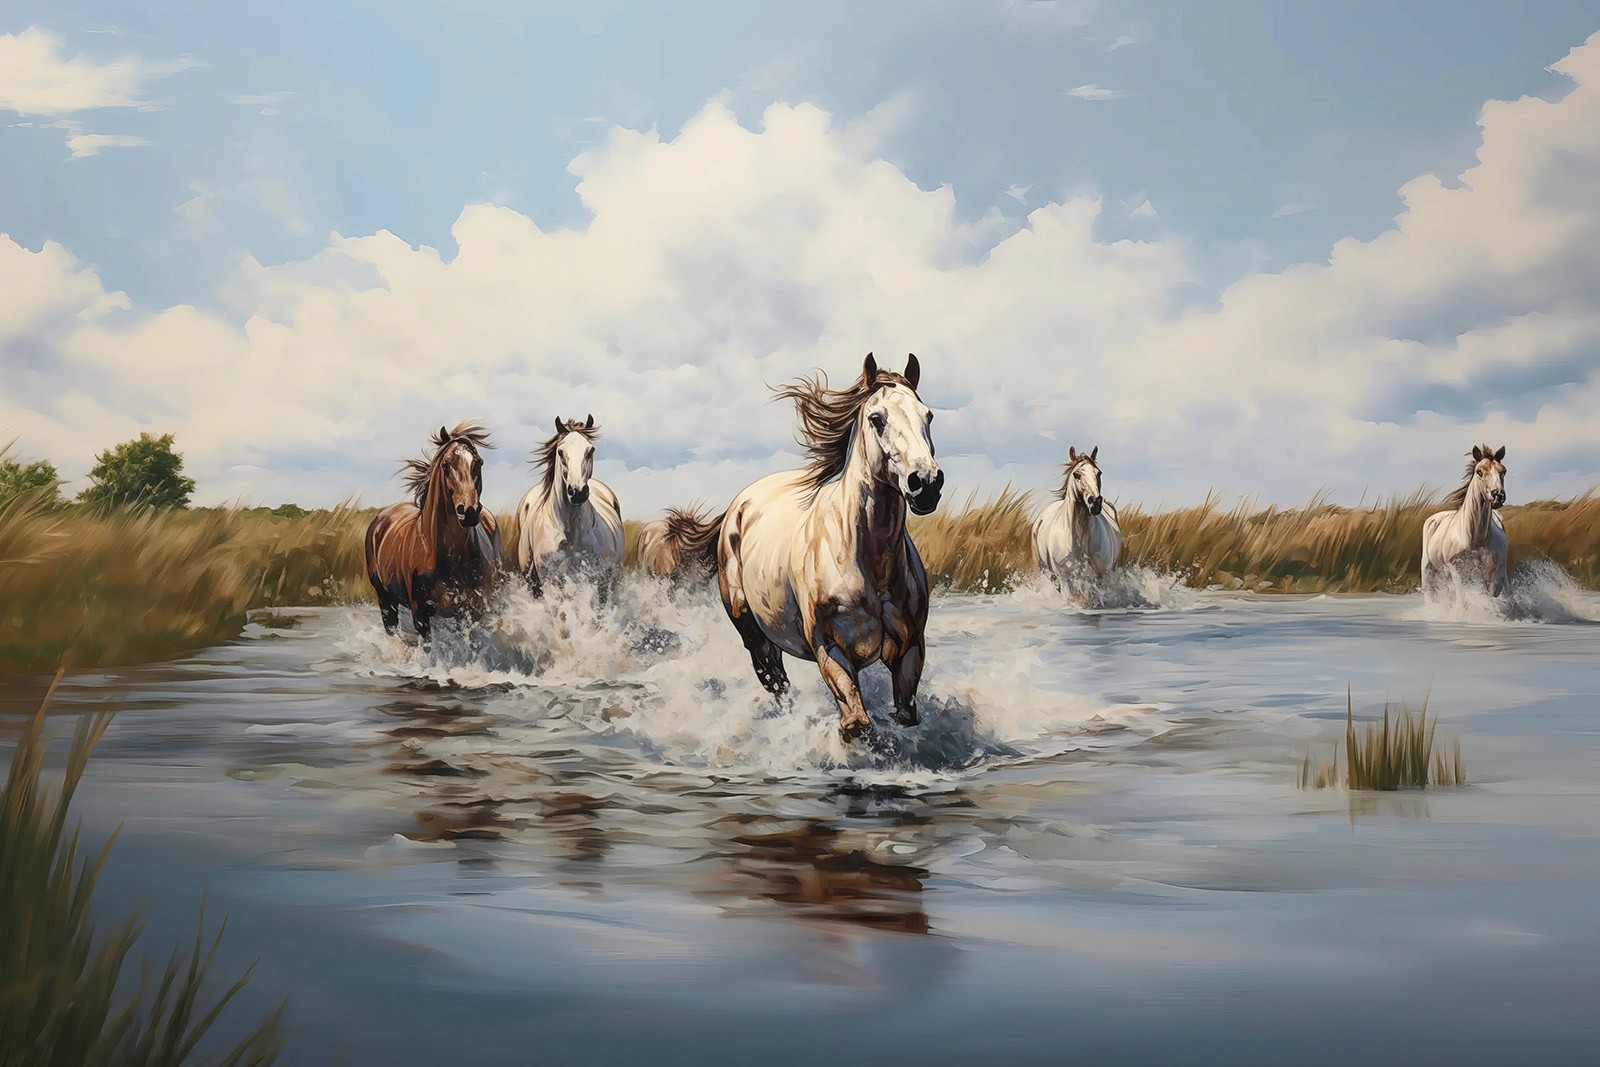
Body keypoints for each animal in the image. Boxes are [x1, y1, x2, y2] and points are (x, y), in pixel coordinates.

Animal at [364, 421, 501, 638]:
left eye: (478, 462)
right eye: (446, 465)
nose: (469, 511)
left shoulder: (470, 613)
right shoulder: (420, 615)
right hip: (385, 600)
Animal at [508, 415, 624, 601]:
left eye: (590, 450)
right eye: (560, 452)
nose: (577, 492)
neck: (572, 532)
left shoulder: (595, 581)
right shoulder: (551, 581)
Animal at [663, 353, 943, 742]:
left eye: (927, 415)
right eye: (877, 419)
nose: (926, 484)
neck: (867, 561)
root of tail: (737, 505)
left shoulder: (909, 653)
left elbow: (905, 717)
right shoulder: (831, 651)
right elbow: (857, 726)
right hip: (755, 636)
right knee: (776, 684)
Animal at [1032, 445, 1122, 598]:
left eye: (1099, 473)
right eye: (1077, 475)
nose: (1095, 504)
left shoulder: (1102, 576)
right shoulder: (1064, 578)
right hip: (1045, 570)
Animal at [1421, 444, 1509, 597]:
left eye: (1503, 471)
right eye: (1479, 471)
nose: (1498, 495)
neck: (1475, 539)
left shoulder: (1492, 578)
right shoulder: (1458, 575)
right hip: (1428, 572)